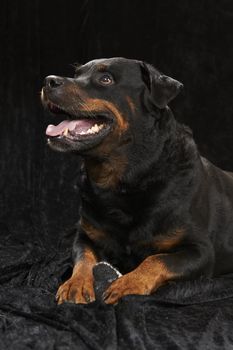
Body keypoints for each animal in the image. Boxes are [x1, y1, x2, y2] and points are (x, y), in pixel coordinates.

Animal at [41, 56, 233, 304]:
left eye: (105, 79)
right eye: (77, 74)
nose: (49, 81)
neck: (125, 182)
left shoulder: (200, 250)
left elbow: (157, 259)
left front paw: (128, 283)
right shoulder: (85, 236)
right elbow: (84, 259)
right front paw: (76, 283)